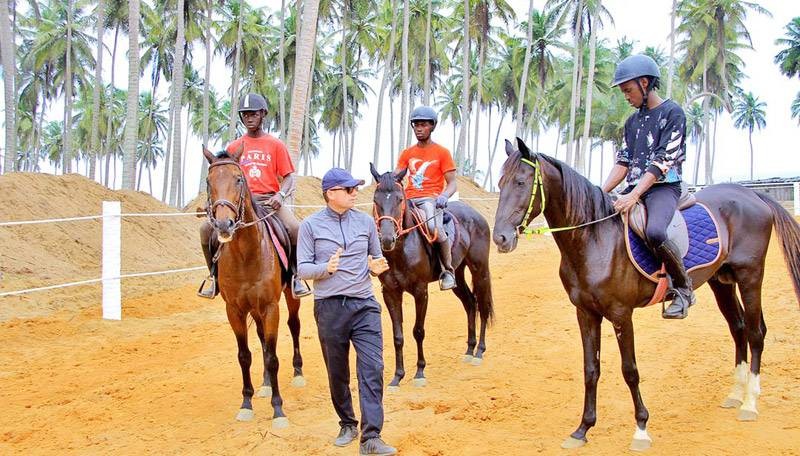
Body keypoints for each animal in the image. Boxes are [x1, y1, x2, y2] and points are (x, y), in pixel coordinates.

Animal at [203, 148, 306, 430]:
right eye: (208, 181)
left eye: (239, 179)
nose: (224, 225)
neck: (245, 254)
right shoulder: (235, 310)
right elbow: (245, 355)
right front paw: (246, 405)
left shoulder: (271, 307)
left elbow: (272, 357)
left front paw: (278, 410)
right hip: (254, 309)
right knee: (261, 339)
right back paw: (266, 384)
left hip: (288, 298)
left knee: (294, 327)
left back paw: (298, 373)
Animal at [370, 164, 494, 388]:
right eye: (376, 199)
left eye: (399, 199)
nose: (387, 239)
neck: (401, 250)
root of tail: (476, 215)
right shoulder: (390, 293)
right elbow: (398, 336)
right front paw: (397, 377)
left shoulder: (421, 291)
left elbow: (418, 331)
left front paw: (419, 373)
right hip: (457, 274)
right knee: (470, 303)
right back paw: (469, 350)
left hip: (479, 269)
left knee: (482, 305)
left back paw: (479, 351)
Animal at [490, 137, 800, 450]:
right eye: (500, 183)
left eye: (520, 182)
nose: (500, 238)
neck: (595, 239)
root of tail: (753, 195)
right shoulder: (586, 313)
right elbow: (591, 369)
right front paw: (582, 429)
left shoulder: (620, 314)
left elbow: (630, 371)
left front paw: (640, 429)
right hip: (722, 282)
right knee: (738, 329)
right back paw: (737, 393)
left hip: (750, 277)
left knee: (755, 333)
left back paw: (749, 403)